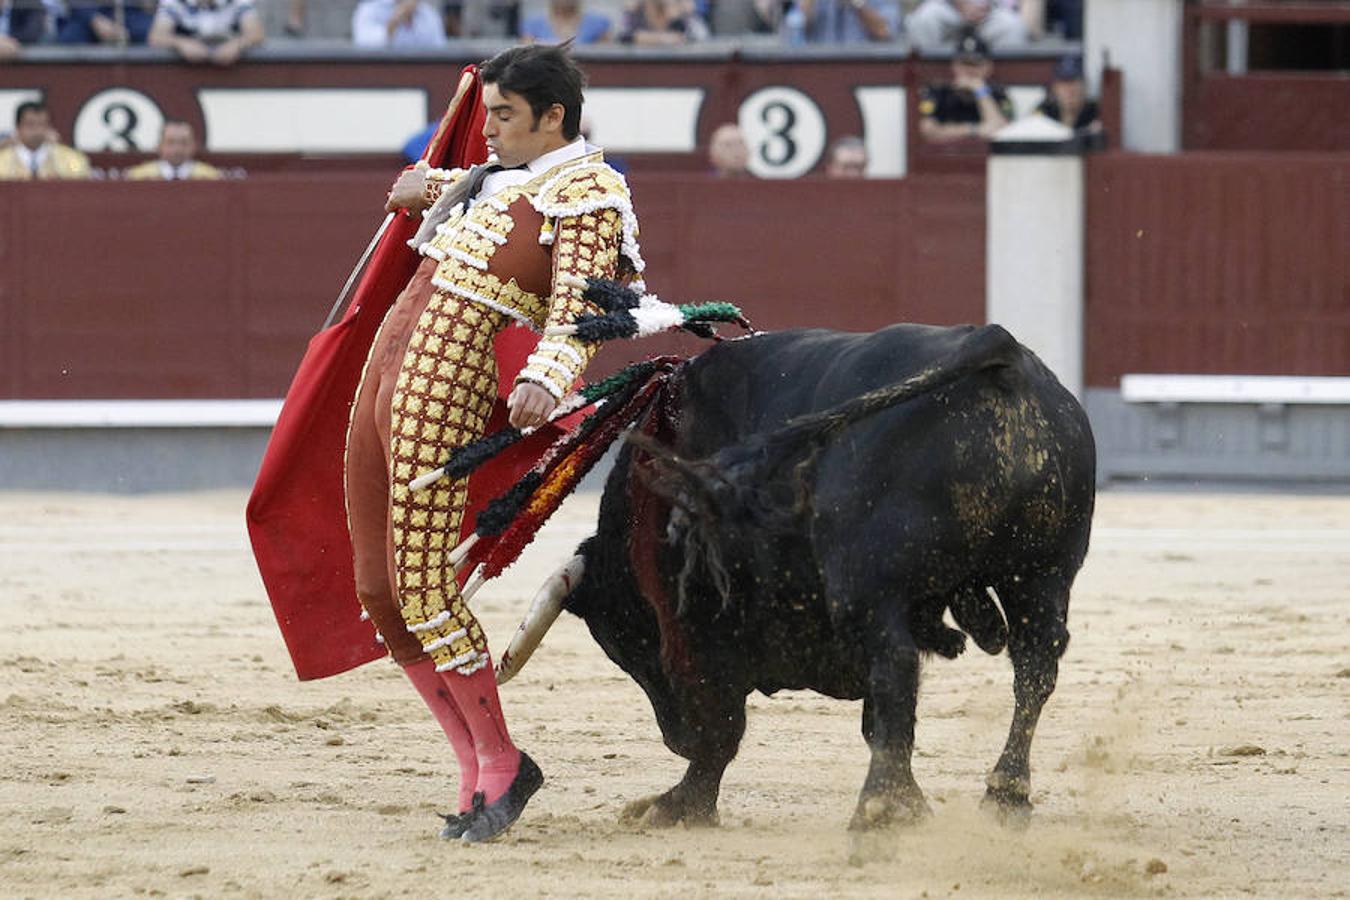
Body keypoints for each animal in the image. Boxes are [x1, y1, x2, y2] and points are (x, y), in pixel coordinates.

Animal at [553, 323, 1090, 831]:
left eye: (624, 642)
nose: (675, 740)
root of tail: (998, 346)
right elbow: (878, 724)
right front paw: (914, 805)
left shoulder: (698, 627)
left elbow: (721, 726)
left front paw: (677, 805)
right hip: (1042, 574)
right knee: (1035, 667)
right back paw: (1005, 796)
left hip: (866, 587)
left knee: (896, 668)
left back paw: (875, 810)